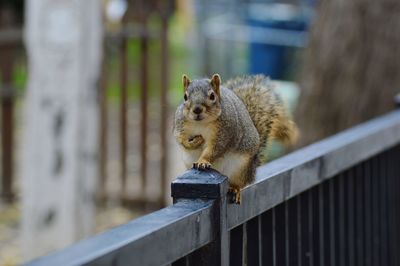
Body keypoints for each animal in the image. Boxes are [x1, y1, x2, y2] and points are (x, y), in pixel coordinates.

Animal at [173, 74, 298, 203]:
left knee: (239, 183)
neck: (201, 123)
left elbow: (215, 149)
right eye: (185, 97)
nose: (197, 109)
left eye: (212, 96)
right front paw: (195, 142)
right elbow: (180, 139)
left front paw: (203, 161)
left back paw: (235, 189)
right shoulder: (180, 125)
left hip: (241, 169)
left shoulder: (225, 133)